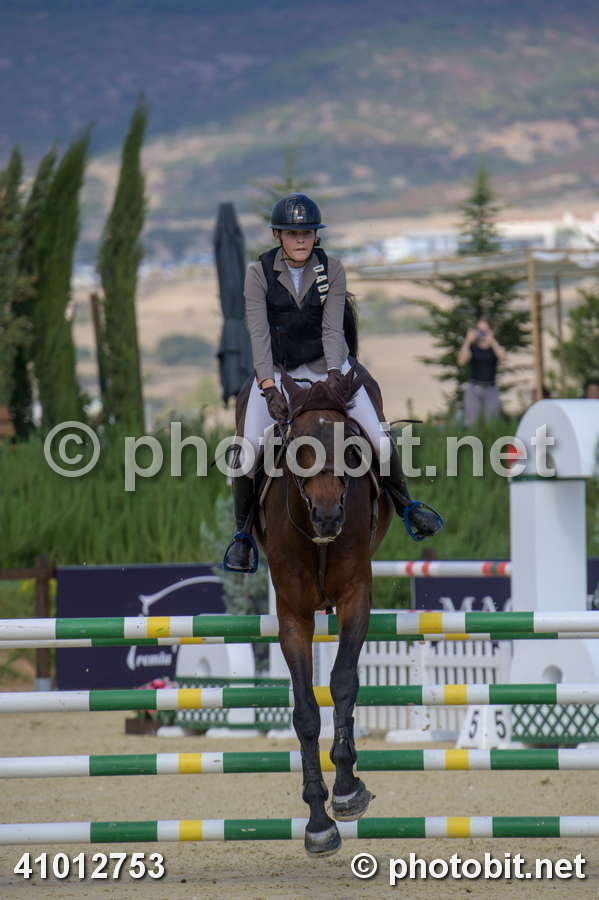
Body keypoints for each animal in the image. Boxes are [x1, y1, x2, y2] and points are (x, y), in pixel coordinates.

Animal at [252, 366, 393, 856]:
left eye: (350, 441)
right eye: (297, 444)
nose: (329, 514)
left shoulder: (355, 598)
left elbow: (344, 683)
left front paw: (347, 790)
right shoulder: (294, 616)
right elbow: (306, 711)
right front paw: (318, 821)